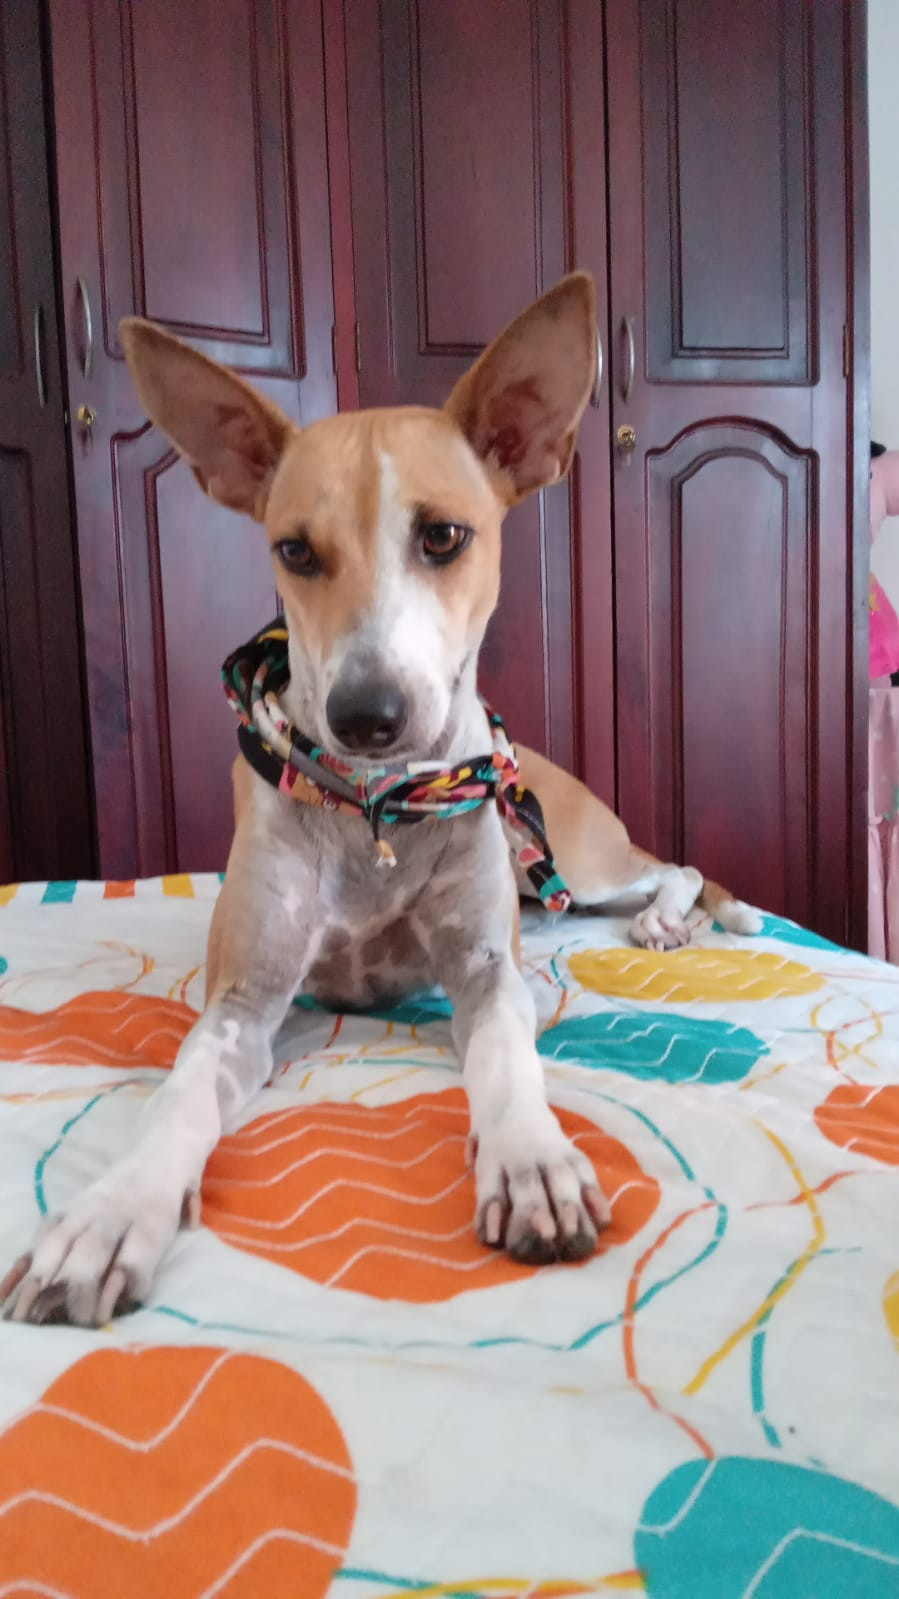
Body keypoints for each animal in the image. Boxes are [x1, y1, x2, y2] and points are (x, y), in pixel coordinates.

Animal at [1, 273, 760, 1325]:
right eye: (294, 550)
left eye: (443, 535)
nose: (368, 716)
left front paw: (532, 1160)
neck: (378, 810)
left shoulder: (487, 970)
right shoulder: (242, 1001)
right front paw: (111, 1214)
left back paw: (667, 921)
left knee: (671, 866)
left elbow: (508, 1055)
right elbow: (181, 1089)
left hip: (583, 856)